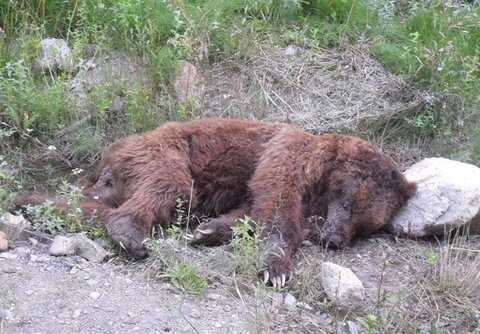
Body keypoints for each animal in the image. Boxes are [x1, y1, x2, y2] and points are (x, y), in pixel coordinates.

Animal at [14, 119, 412, 288]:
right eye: (353, 202)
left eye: (368, 226)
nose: (336, 240)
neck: (323, 179)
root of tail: (113, 151)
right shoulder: (287, 156)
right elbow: (276, 205)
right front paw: (278, 269)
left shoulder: (310, 203)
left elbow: (249, 212)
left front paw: (208, 231)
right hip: (166, 152)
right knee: (166, 188)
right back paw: (131, 235)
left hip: (120, 176)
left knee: (94, 201)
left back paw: (30, 200)